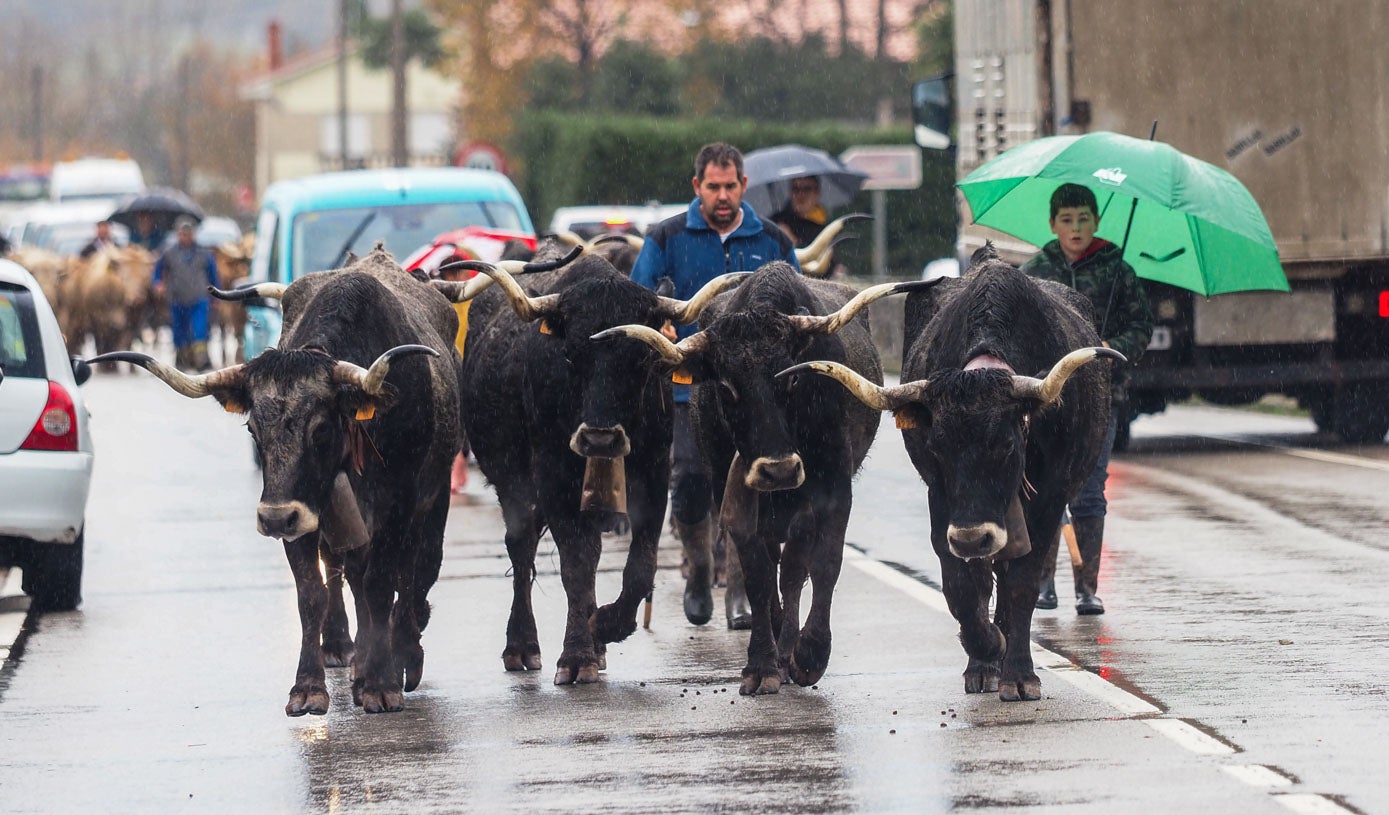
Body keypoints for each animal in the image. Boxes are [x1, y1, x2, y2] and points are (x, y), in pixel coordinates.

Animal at [90, 248, 466, 716]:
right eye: (253, 430)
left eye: (320, 430)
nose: (271, 520)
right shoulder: (302, 512)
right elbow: (312, 593)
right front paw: (309, 688)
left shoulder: (397, 506)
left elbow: (383, 584)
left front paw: (382, 683)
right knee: (354, 575)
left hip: (431, 502)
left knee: (417, 572)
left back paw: (402, 659)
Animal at [447, 251, 750, 685]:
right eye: (570, 354)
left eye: (642, 358)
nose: (600, 440)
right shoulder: (553, 479)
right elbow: (576, 563)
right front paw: (576, 655)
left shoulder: (653, 476)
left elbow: (640, 565)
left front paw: (605, 627)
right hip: (511, 480)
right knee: (522, 546)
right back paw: (522, 646)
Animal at [597, 261, 933, 694]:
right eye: (726, 386)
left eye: (791, 378)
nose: (778, 469)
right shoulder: (732, 494)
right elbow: (757, 571)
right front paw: (762, 663)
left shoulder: (832, 491)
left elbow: (822, 564)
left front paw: (809, 655)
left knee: (793, 568)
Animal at [783, 247, 1127, 702]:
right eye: (937, 448)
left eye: (1006, 445)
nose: (971, 537)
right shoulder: (942, 501)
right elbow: (963, 586)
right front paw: (985, 652)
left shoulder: (1048, 500)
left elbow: (1022, 582)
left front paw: (1020, 674)